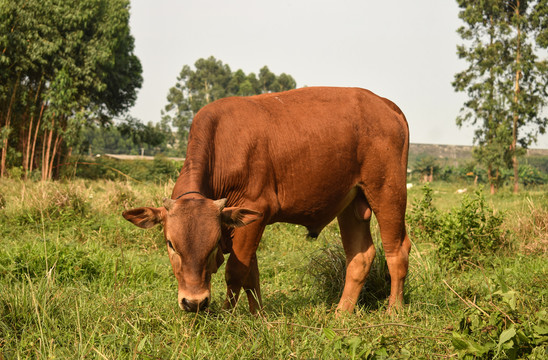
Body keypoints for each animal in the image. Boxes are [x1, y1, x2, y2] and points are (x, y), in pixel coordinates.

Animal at [122, 86, 408, 314]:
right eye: (170, 244)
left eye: (213, 244)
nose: (194, 303)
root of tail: (385, 104)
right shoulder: (243, 223)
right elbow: (251, 273)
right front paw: (256, 315)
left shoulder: (255, 212)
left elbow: (235, 272)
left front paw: (226, 316)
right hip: (351, 203)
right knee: (360, 257)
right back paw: (341, 314)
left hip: (388, 191)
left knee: (397, 251)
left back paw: (393, 311)